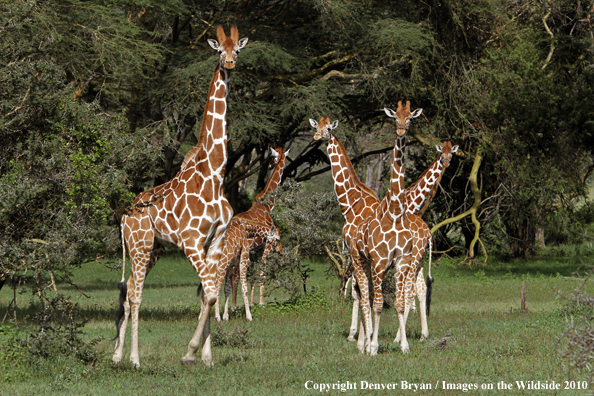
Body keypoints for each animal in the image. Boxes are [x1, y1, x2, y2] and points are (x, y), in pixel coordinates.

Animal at [112, 25, 246, 368]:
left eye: (237, 49)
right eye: (218, 50)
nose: (230, 63)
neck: (215, 173)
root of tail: (124, 214)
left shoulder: (215, 242)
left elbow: (208, 294)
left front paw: (206, 357)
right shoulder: (191, 242)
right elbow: (209, 293)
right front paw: (190, 353)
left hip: (153, 248)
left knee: (128, 290)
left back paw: (117, 355)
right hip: (140, 245)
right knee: (136, 294)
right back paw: (134, 359)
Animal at [214, 145, 288, 322]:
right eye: (273, 157)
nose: (270, 165)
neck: (267, 206)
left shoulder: (255, 251)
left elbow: (253, 275)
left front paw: (253, 303)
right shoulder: (265, 247)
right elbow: (261, 273)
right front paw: (260, 303)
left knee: (230, 278)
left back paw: (230, 309)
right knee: (233, 277)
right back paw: (231, 308)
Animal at [346, 100, 430, 356]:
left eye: (410, 118)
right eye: (395, 117)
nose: (401, 130)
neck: (394, 214)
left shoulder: (401, 262)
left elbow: (401, 303)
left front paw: (404, 345)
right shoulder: (380, 261)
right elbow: (378, 304)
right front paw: (373, 346)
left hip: (371, 265)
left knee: (368, 296)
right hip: (359, 261)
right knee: (364, 297)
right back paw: (363, 344)